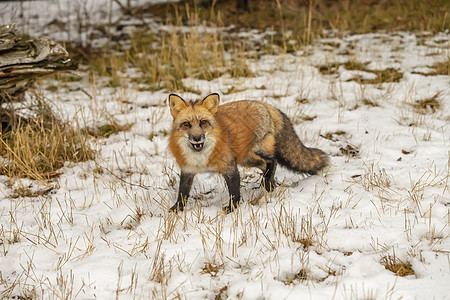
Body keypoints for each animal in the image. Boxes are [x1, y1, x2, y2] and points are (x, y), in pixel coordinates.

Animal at [167, 92, 328, 212]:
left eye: (203, 122)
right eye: (186, 124)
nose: (196, 138)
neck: (200, 159)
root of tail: (267, 105)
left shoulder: (230, 168)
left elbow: (234, 192)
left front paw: (232, 209)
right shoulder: (188, 170)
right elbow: (182, 193)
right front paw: (176, 210)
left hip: (257, 151)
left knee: (273, 160)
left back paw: (268, 183)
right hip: (247, 159)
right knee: (265, 165)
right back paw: (269, 184)